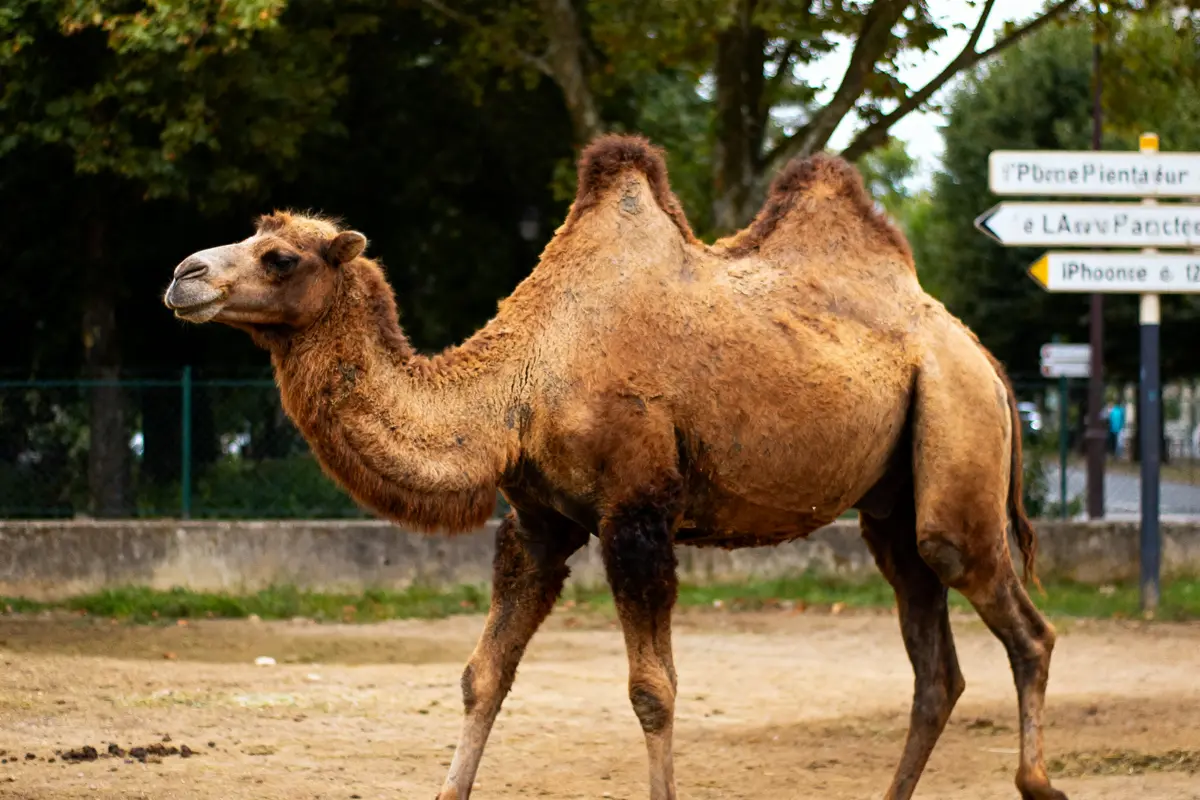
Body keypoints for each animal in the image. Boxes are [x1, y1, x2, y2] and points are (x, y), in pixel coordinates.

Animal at [162, 134, 1064, 800]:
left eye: (281, 257)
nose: (182, 273)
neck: (520, 385)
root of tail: (979, 352)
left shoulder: (636, 513)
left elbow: (651, 691)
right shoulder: (539, 523)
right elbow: (482, 674)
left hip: (956, 427)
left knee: (1018, 620)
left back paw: (1038, 780)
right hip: (890, 506)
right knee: (934, 664)